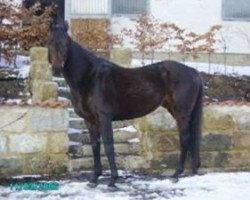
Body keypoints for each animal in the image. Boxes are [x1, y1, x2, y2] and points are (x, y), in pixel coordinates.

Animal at [47, 22, 203, 188]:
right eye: (50, 42)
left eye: (65, 43)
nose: (56, 68)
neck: (90, 76)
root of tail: (192, 71)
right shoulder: (90, 120)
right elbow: (95, 146)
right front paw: (94, 179)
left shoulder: (104, 117)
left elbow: (108, 146)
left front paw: (112, 180)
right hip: (176, 111)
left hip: (182, 113)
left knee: (185, 139)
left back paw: (176, 174)